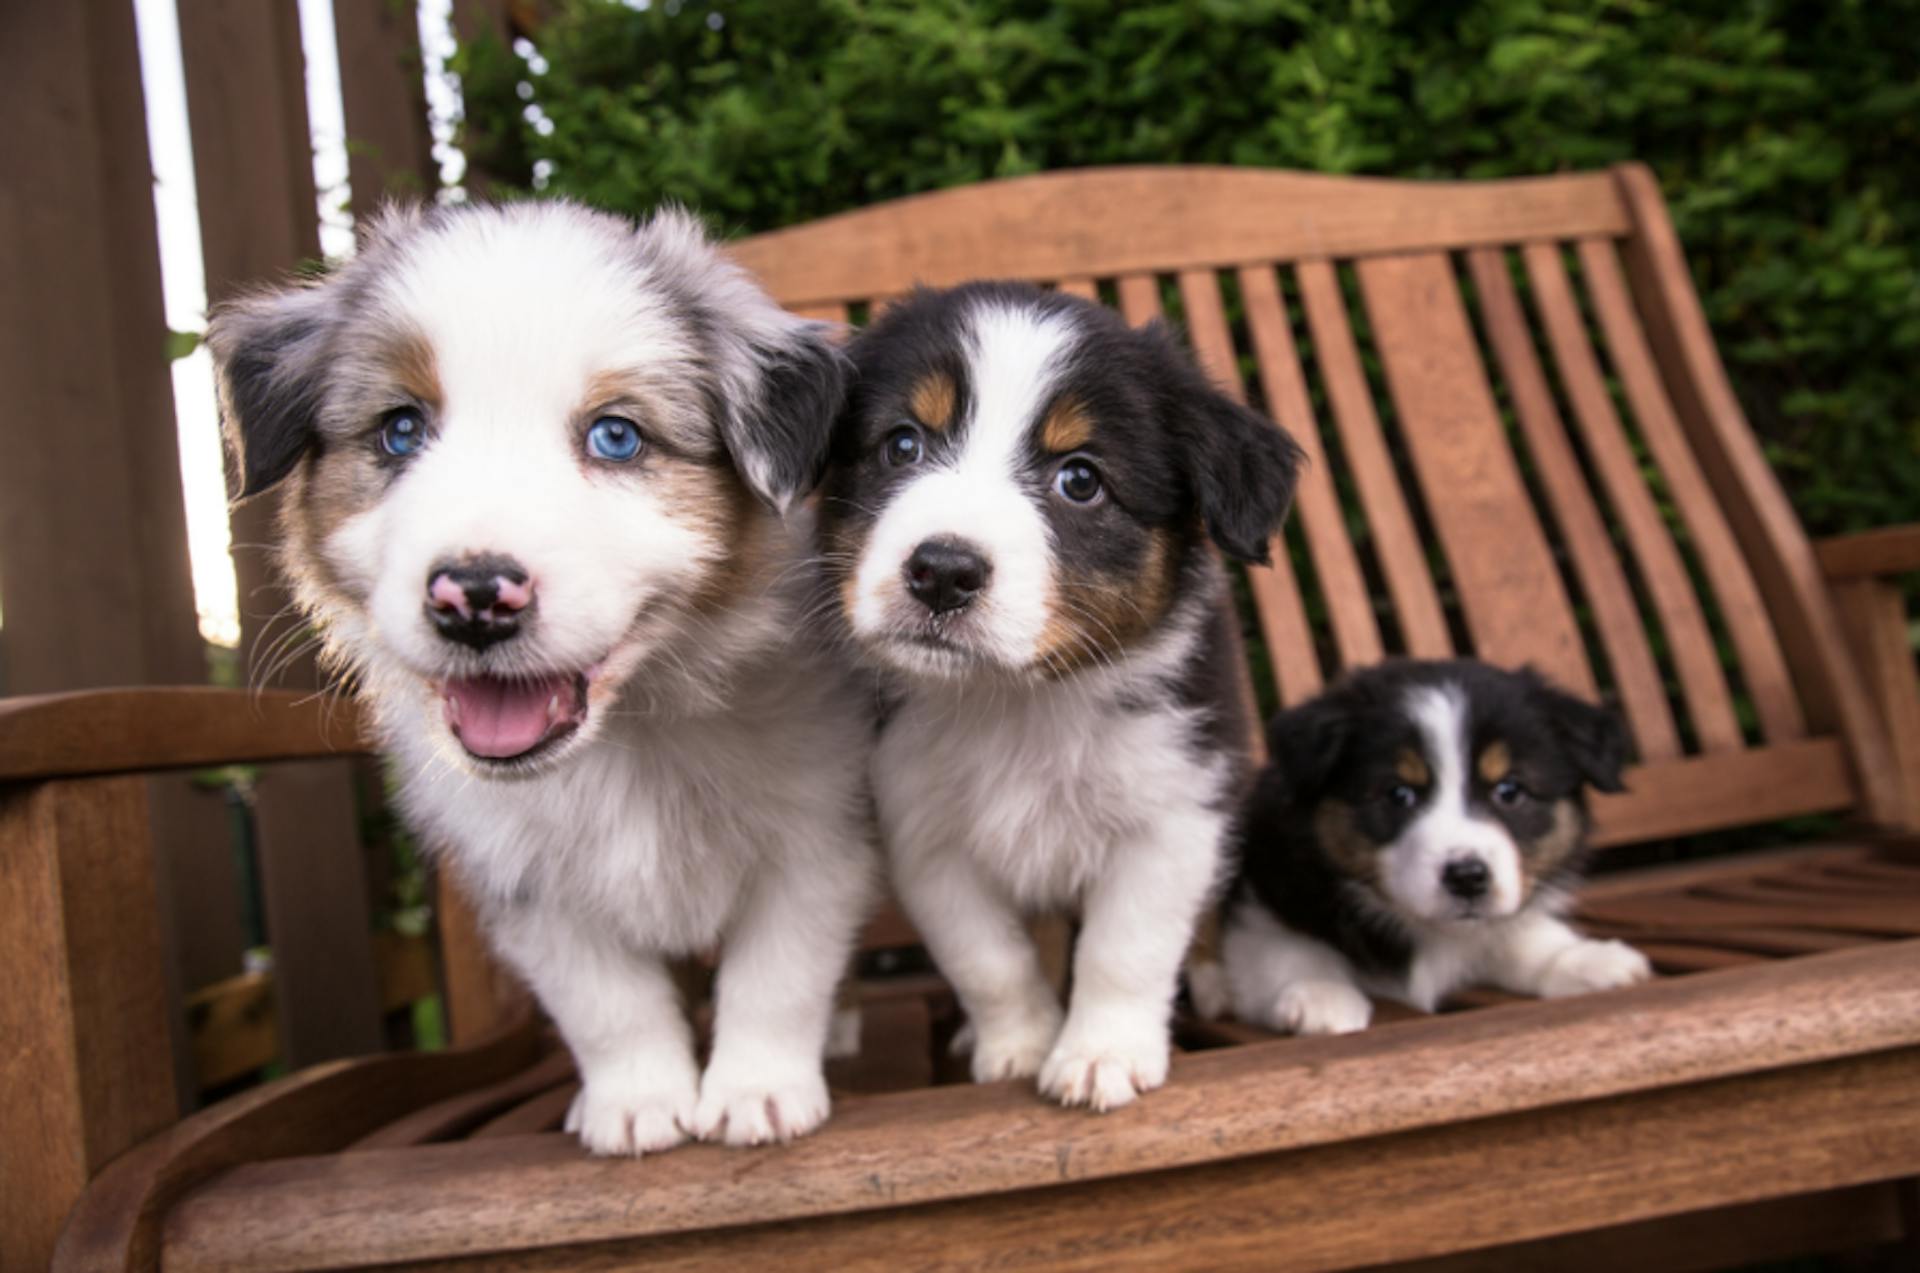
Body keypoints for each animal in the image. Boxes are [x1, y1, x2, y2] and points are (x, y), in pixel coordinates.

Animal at [208, 199, 871, 1152]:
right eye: (400, 429)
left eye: (616, 436)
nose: (475, 597)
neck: (629, 736)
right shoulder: (524, 878)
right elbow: (605, 999)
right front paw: (639, 1104)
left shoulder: (815, 832)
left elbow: (778, 969)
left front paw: (758, 1092)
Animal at [817, 284, 1297, 1113]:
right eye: (903, 445)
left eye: (1080, 479)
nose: (942, 572)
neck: (1017, 701)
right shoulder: (924, 833)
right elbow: (990, 957)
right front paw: (1017, 1043)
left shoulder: (1174, 807)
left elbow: (1125, 947)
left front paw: (1102, 1054)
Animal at [1228, 656, 1651, 1036]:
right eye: (1399, 794)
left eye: (1509, 791)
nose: (1467, 877)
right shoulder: (1257, 911)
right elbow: (1283, 947)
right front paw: (1320, 993)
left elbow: (1522, 936)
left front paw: (1586, 959)